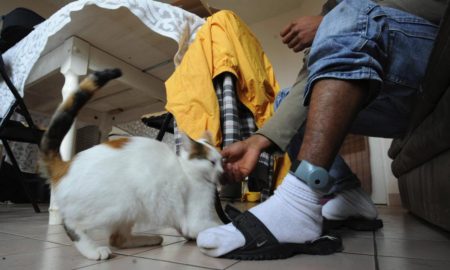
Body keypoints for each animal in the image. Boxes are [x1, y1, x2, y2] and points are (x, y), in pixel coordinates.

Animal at [40, 68, 225, 260]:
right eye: (212, 162)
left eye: (221, 161)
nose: (222, 172)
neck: (188, 171)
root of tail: (65, 165)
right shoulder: (196, 219)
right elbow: (214, 226)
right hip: (118, 205)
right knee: (72, 225)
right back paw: (93, 251)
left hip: (130, 210)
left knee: (118, 239)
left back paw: (151, 239)